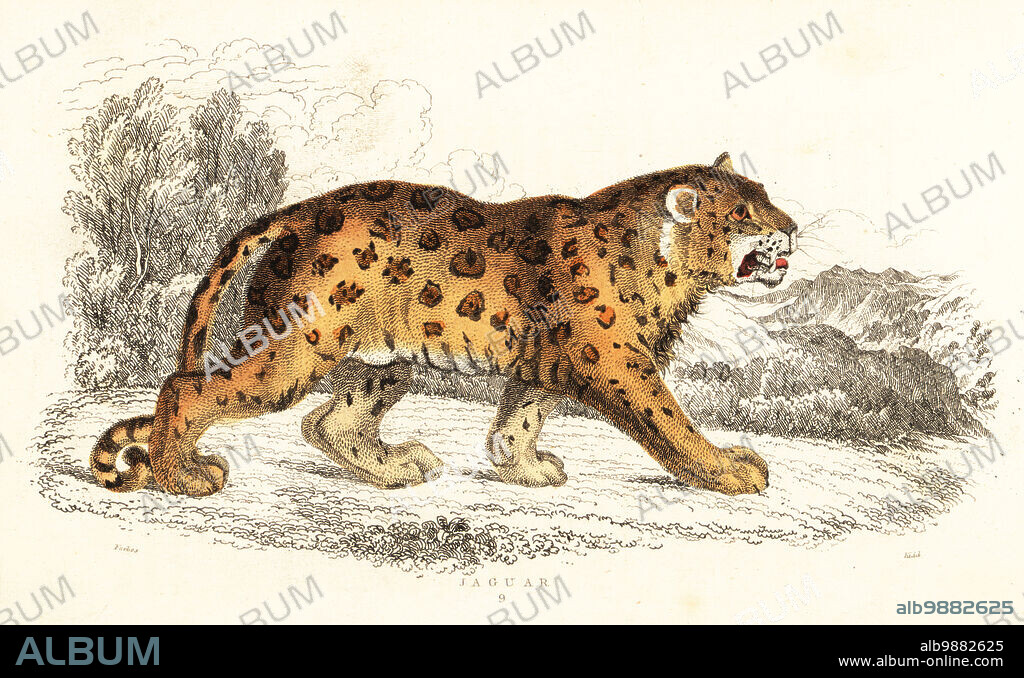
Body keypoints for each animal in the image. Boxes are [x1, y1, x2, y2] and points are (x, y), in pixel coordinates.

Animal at [90, 152, 797, 498]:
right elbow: (671, 422)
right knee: (188, 390)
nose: (790, 227)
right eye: (743, 211)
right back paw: (183, 478)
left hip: (381, 364)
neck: (665, 265)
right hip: (293, 354)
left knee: (327, 423)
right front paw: (731, 470)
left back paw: (398, 467)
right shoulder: (617, 361)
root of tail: (297, 214)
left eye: (765, 193)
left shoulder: (545, 364)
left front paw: (526, 470)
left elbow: (516, 421)